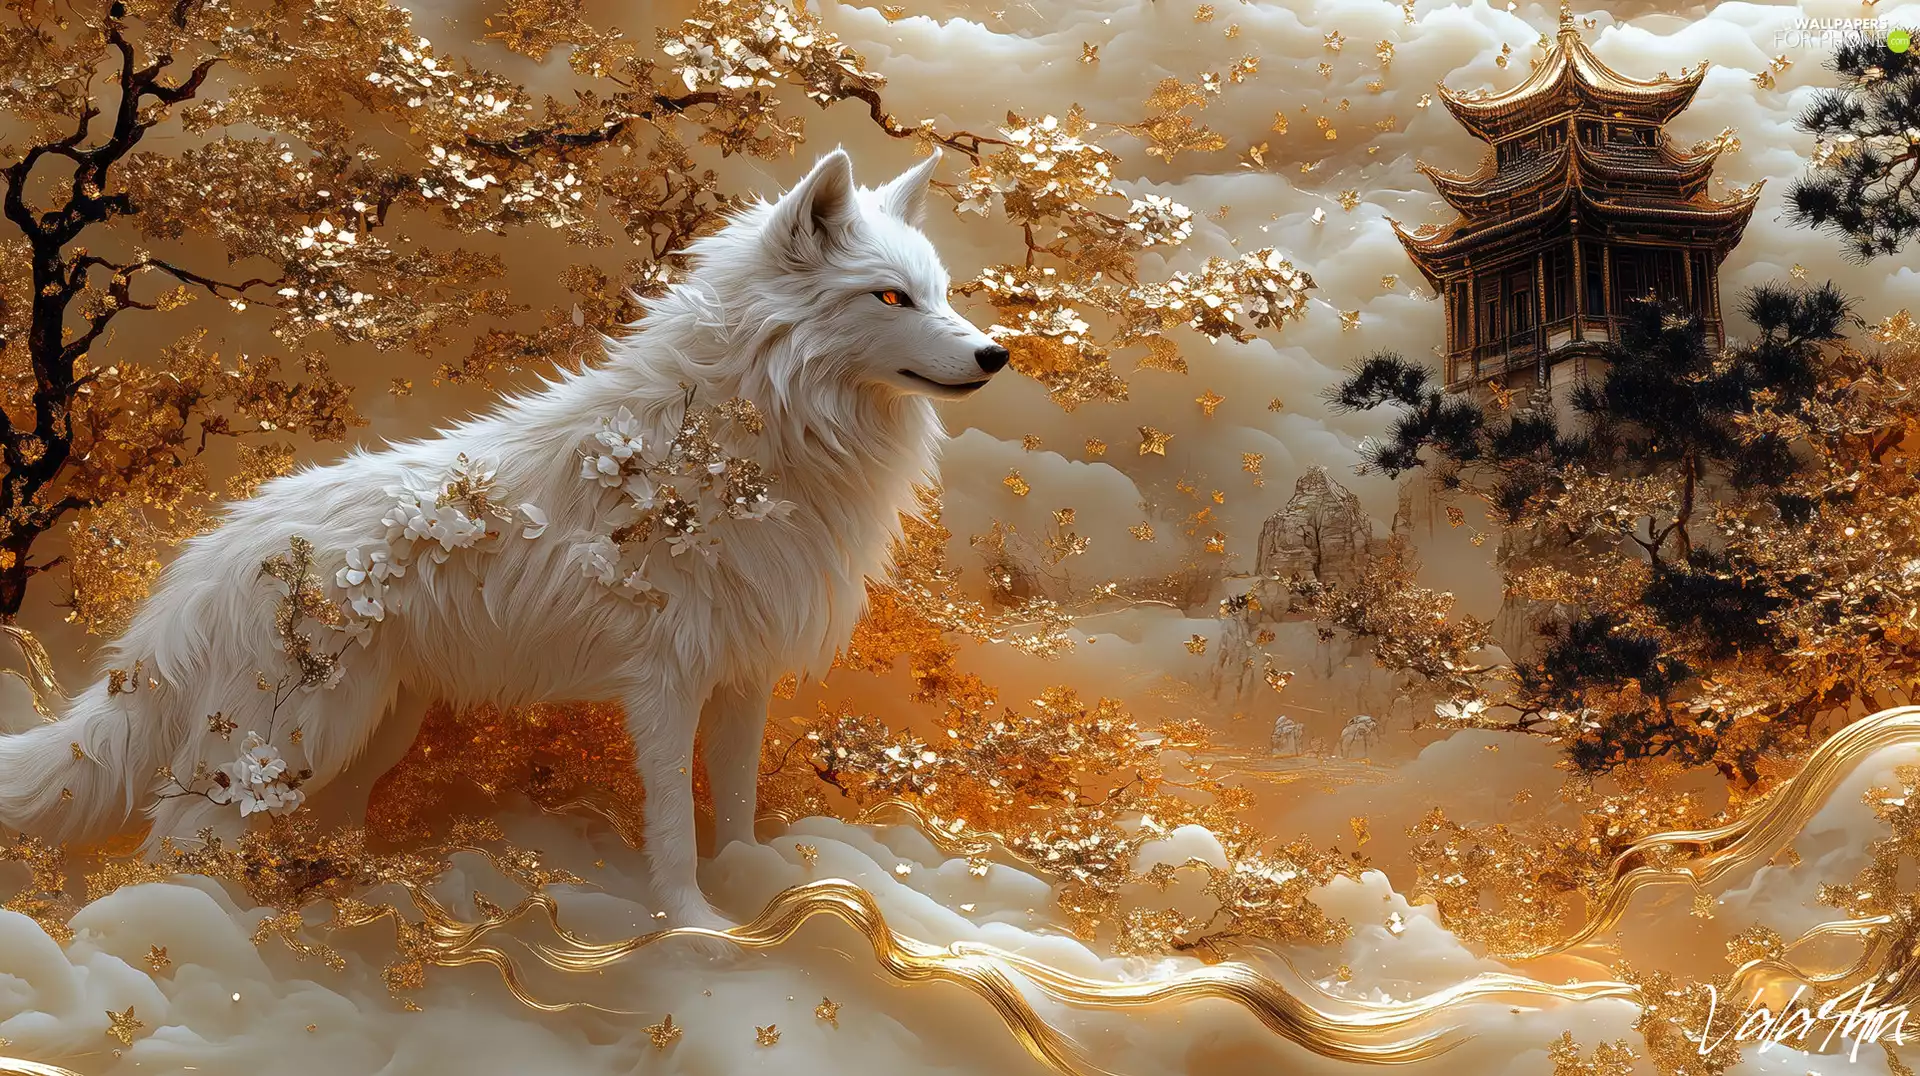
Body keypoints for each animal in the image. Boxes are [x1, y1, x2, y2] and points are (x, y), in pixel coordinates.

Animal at [0, 148, 1006, 939]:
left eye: (941, 293)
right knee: (176, 839)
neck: (753, 449)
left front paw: (754, 888)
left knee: (312, 827)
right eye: (890, 295)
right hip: (287, 737)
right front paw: (695, 929)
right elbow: (674, 826)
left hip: (371, 730)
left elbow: (737, 807)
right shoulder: (665, 684)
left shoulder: (743, 676)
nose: (996, 355)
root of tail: (208, 555)